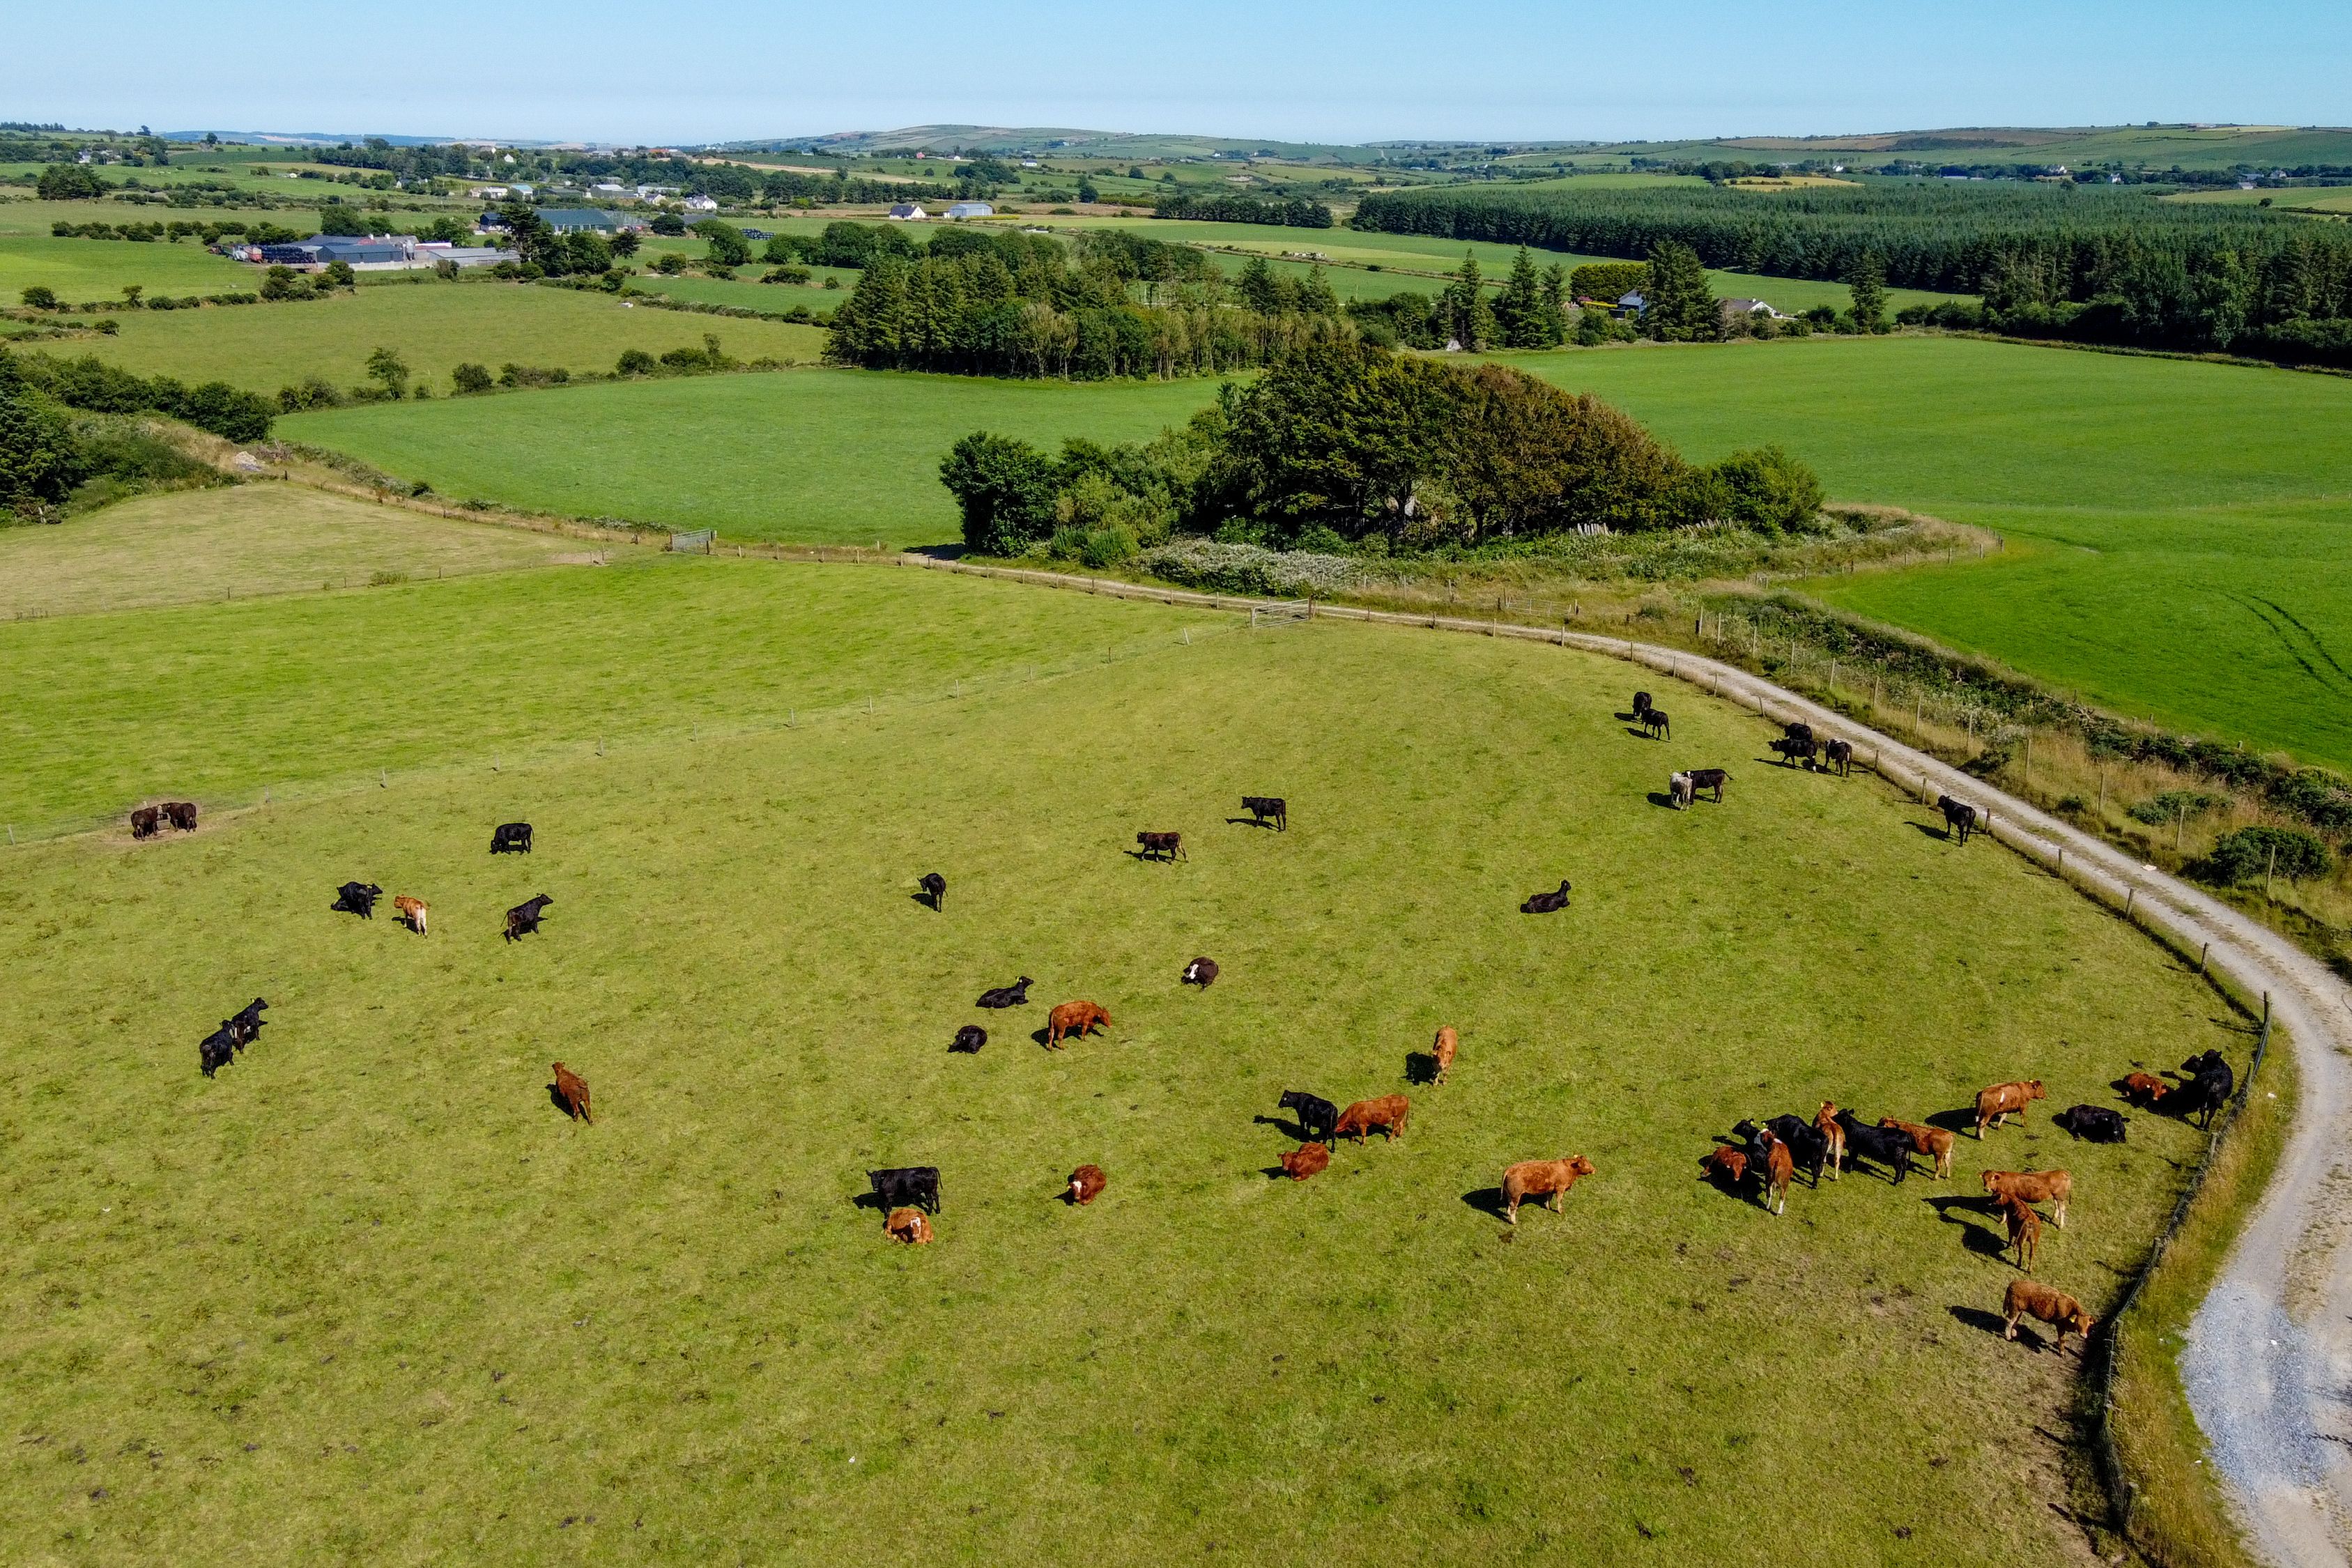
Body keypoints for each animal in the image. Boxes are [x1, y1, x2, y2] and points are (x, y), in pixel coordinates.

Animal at [1500, 1155, 1595, 1224]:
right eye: (1586, 1164)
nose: (1594, 1170)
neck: (1570, 1169)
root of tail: (1509, 1169)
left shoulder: (1551, 1189)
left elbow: (1549, 1197)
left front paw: (1548, 1207)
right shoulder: (1561, 1188)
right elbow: (1559, 1200)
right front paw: (1560, 1211)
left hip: (1510, 1194)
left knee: (1509, 1203)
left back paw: (1508, 1213)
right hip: (1516, 1195)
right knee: (1513, 1207)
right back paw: (1514, 1221)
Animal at [1982, 1168, 2072, 1229]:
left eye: (1992, 1179)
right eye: (1984, 1179)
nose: (1986, 1189)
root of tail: (2062, 1171)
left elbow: (2005, 1210)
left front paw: (2002, 1221)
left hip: (2060, 1196)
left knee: (2062, 1209)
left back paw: (2060, 1225)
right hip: (2056, 1195)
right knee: (2057, 1205)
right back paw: (2054, 1217)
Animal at [2003, 1279, 2095, 1351]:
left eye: (2088, 1325)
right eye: (2078, 1323)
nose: (2083, 1335)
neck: (2070, 1309)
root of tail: (2014, 1283)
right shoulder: (2060, 1326)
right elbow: (2062, 1339)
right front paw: (2062, 1353)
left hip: (2019, 1310)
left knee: (2015, 1320)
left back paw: (2014, 1333)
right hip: (2015, 1309)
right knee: (2010, 1321)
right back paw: (2008, 1337)